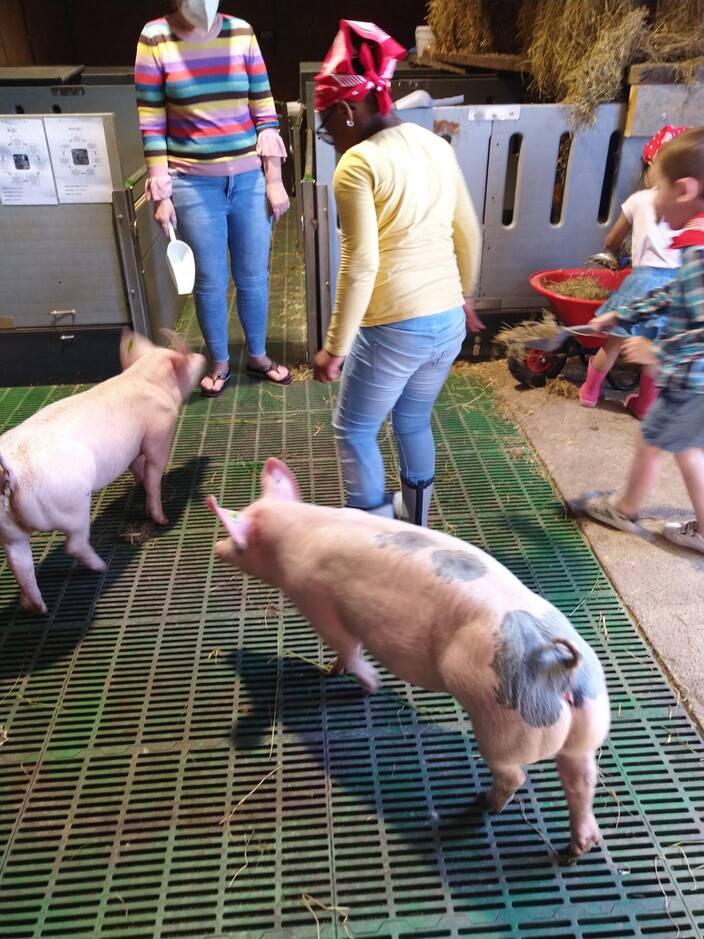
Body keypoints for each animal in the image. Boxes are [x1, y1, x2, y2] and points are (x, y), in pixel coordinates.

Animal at [2, 330, 206, 616]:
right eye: (184, 359)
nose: (203, 357)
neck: (145, 377)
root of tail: (12, 470)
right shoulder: (159, 435)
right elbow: (154, 473)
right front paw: (161, 518)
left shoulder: (133, 448)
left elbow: (136, 466)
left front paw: (139, 484)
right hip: (71, 508)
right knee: (73, 544)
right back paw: (101, 567)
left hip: (8, 530)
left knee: (19, 563)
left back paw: (36, 608)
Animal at [209, 458, 612, 864]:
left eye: (238, 541)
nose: (216, 546)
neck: (296, 532)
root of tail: (558, 665)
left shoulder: (317, 604)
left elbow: (349, 648)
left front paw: (358, 682)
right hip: (588, 726)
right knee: (582, 779)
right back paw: (577, 848)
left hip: (504, 724)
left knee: (515, 775)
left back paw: (485, 804)